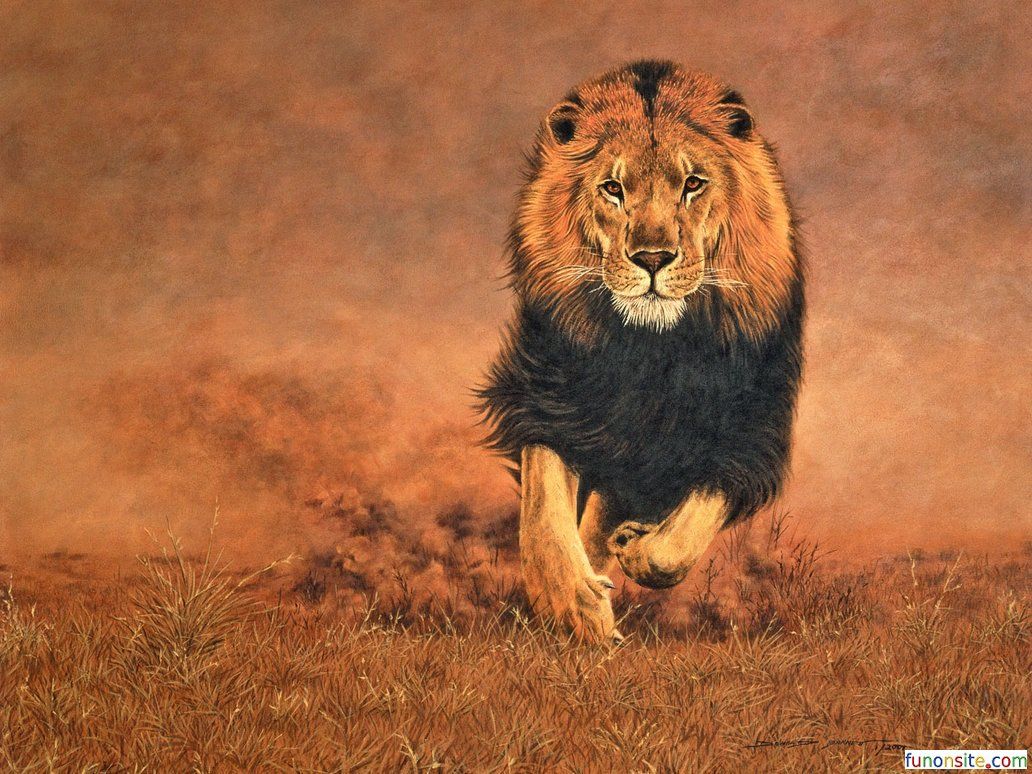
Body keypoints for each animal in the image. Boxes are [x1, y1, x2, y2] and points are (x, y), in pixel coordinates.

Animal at [478, 61, 805, 643]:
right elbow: (544, 507)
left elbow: (679, 541)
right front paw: (570, 603)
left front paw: (633, 548)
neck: (653, 353)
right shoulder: (547, 397)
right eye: (612, 188)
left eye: (693, 184)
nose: (652, 258)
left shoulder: (747, 433)